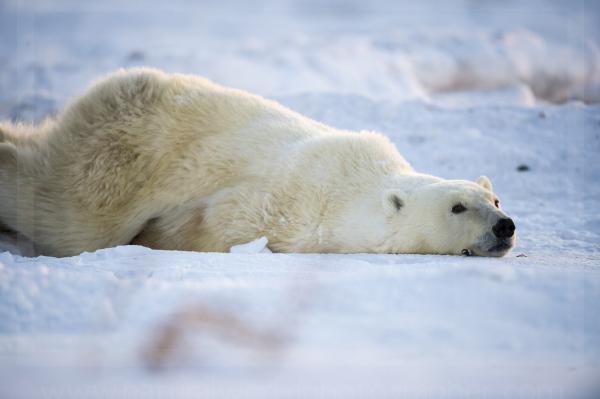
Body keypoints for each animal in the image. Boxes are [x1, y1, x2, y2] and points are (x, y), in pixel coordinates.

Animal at [1, 68, 516, 256]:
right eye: (457, 206)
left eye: (493, 199)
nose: (505, 225)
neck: (354, 183)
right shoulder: (288, 204)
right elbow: (213, 220)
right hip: (124, 152)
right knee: (67, 215)